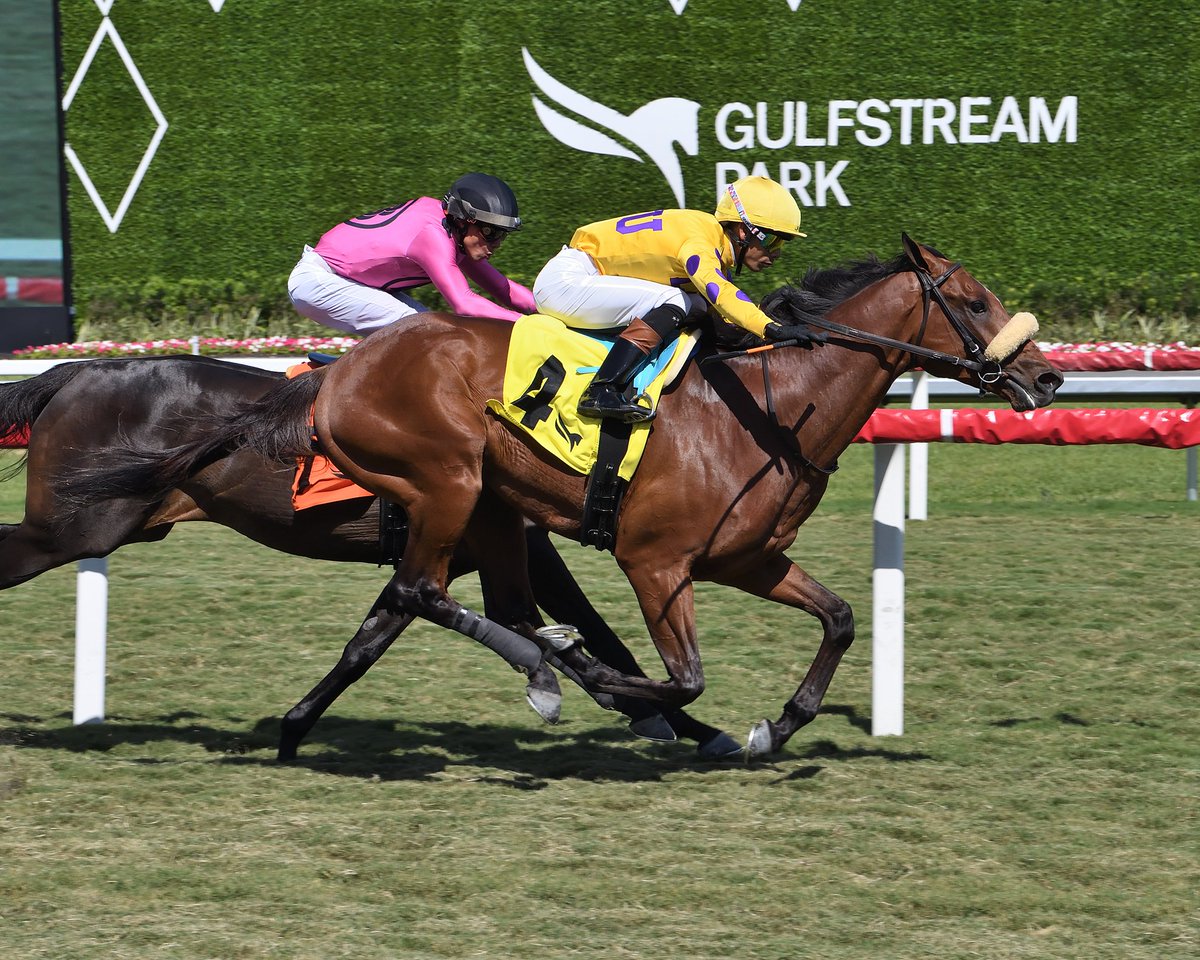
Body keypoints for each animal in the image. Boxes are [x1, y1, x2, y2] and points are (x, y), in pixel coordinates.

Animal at [0, 355, 734, 763]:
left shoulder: (450, 550)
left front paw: (294, 730)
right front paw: (679, 720)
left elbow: (368, 642)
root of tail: (77, 373)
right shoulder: (518, 542)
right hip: (74, 529)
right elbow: (599, 634)